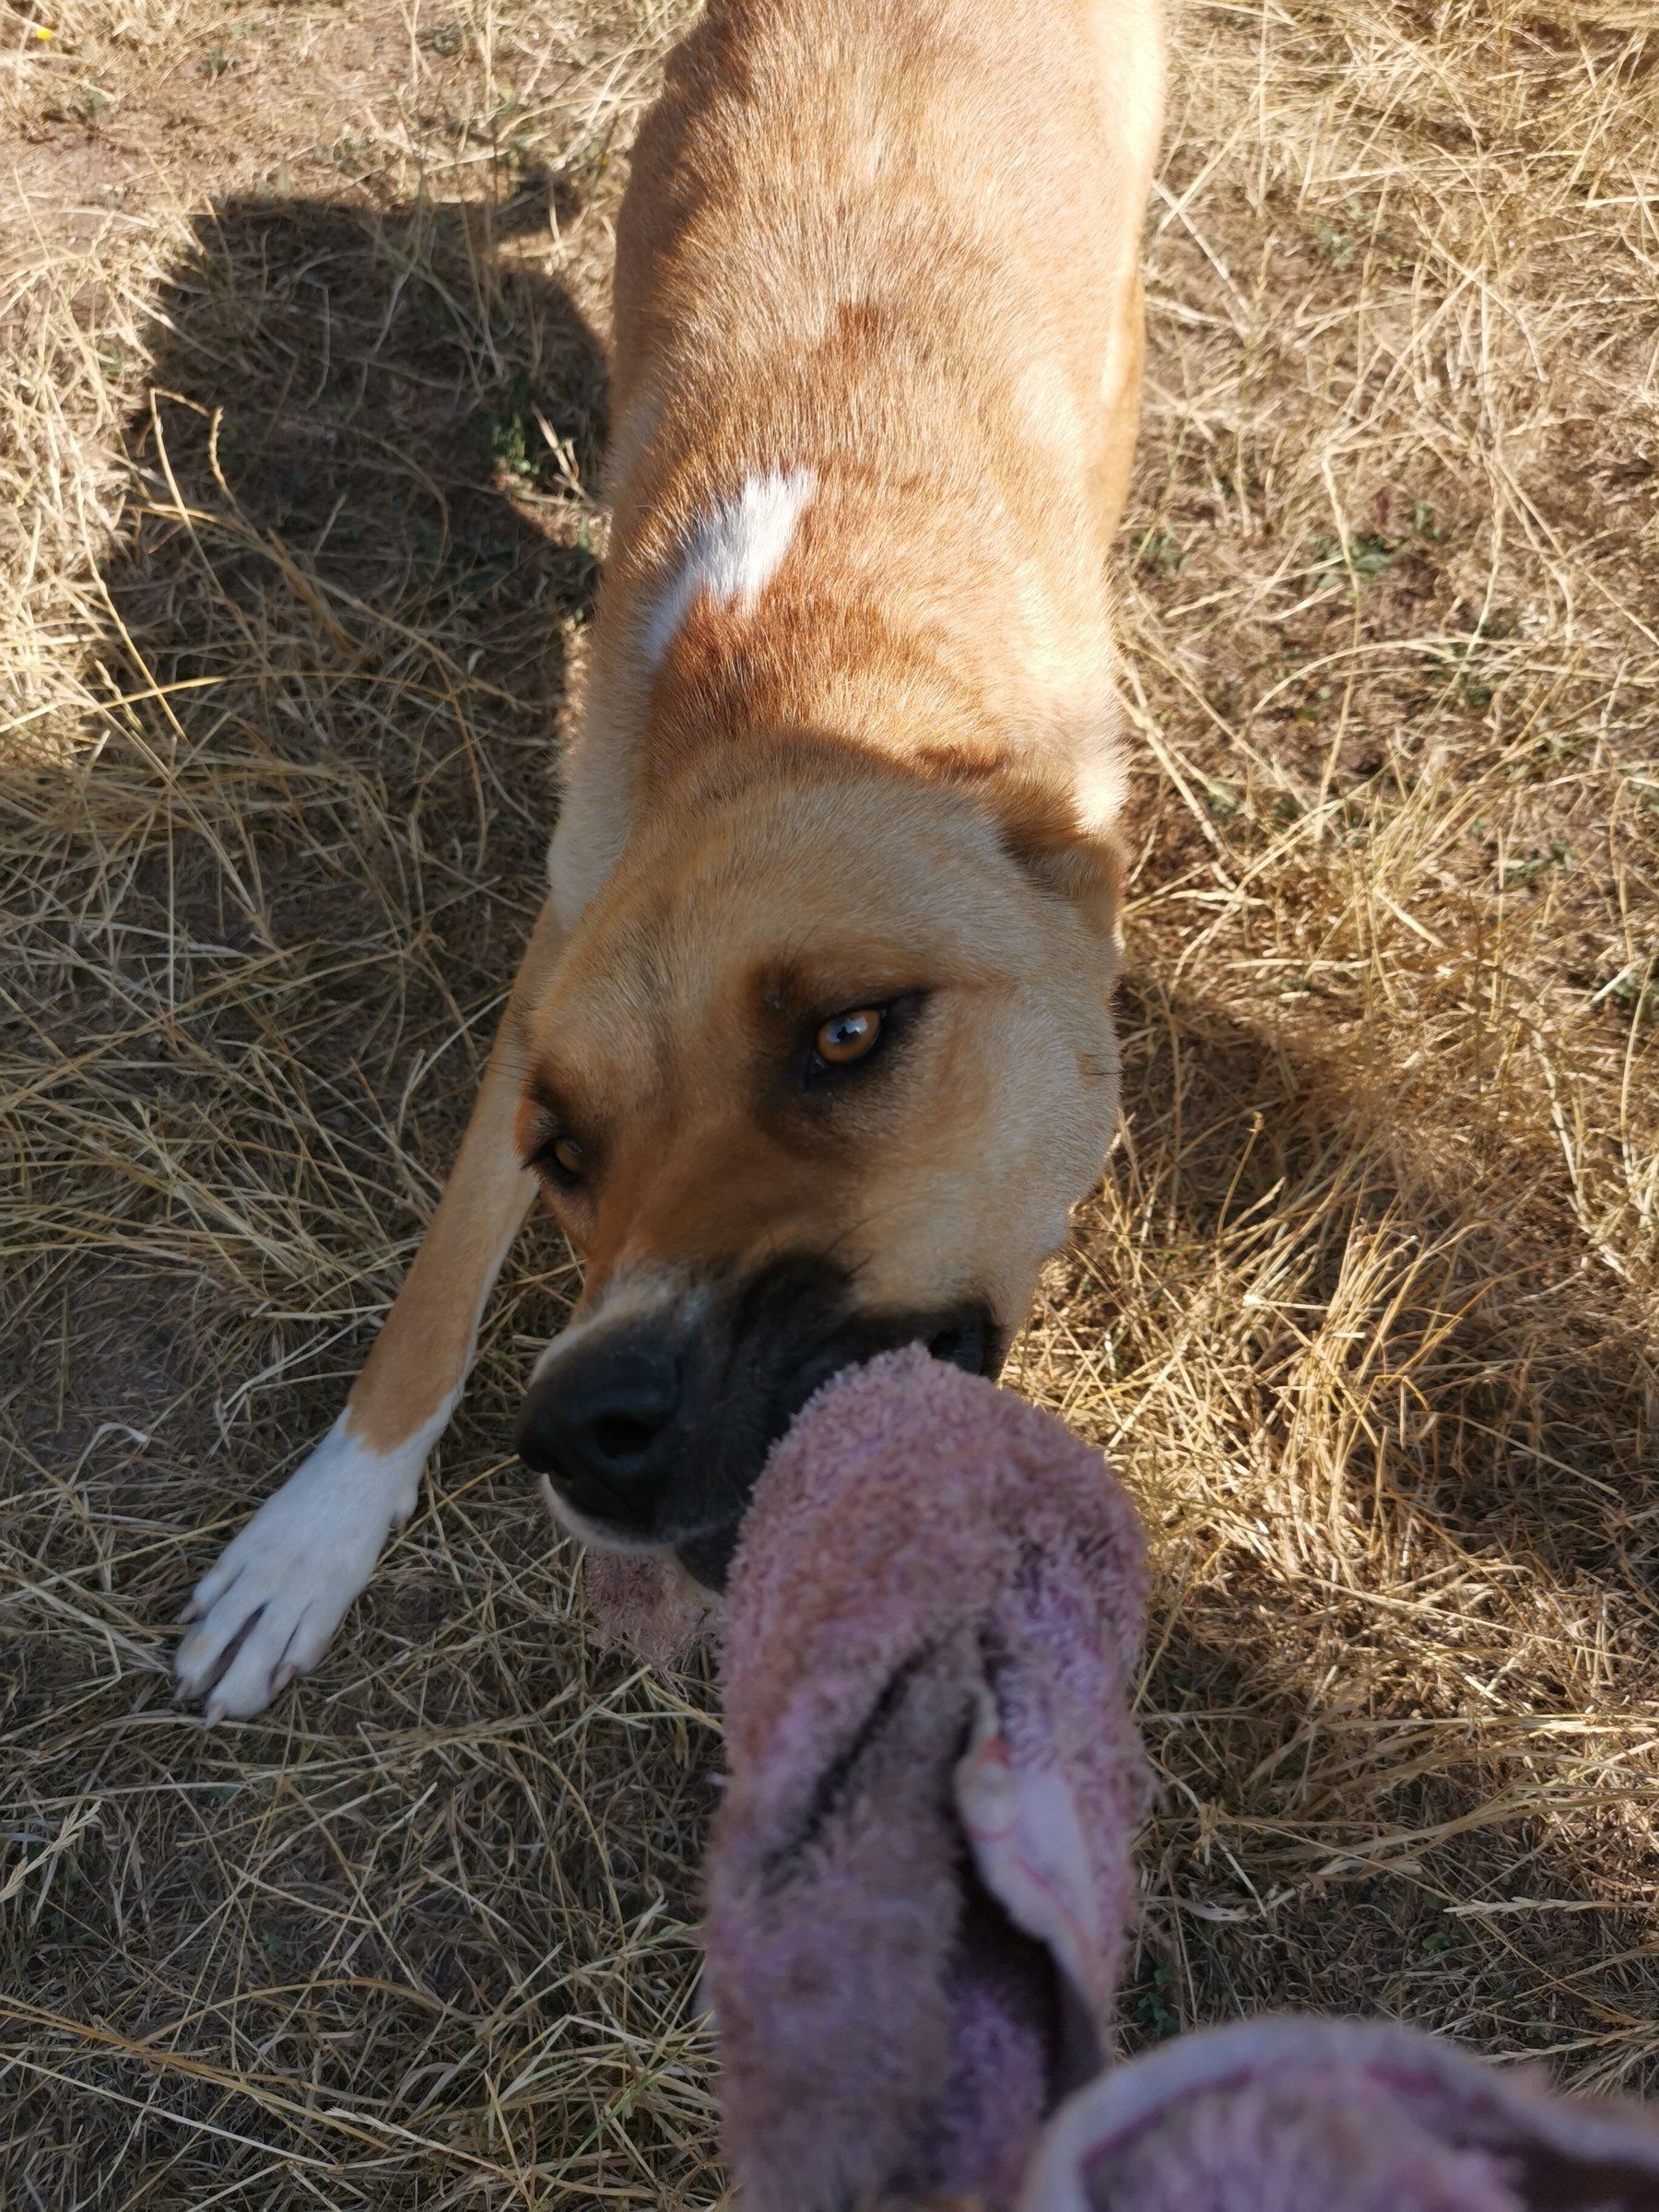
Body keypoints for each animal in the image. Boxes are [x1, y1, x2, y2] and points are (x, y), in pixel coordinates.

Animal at [175, 0, 1165, 1718]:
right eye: (564, 1150)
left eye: (850, 1032)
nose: (580, 1430)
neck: (815, 667)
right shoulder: (548, 970)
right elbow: (435, 1288)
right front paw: (313, 1536)